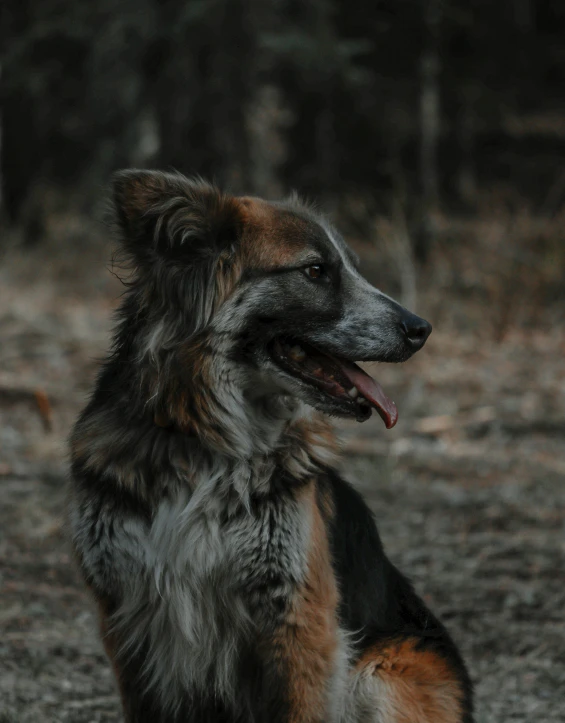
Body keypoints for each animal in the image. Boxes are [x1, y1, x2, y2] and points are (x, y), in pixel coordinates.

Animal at [68, 171, 474, 723]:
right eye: (316, 270)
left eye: (350, 267)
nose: (422, 329)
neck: (205, 444)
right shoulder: (130, 619)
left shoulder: (297, 622)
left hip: (382, 676)